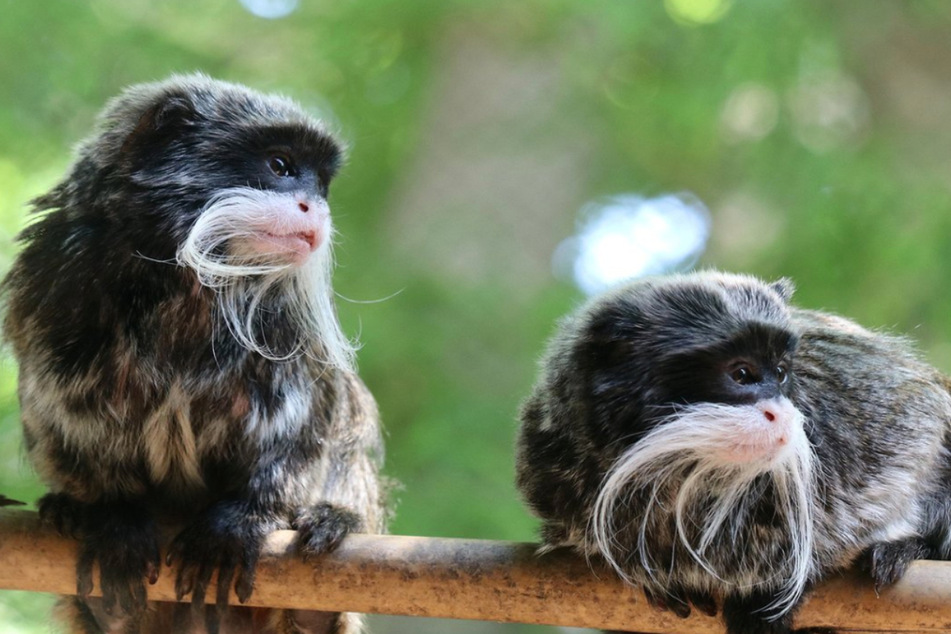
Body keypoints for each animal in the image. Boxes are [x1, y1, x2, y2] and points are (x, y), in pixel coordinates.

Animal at [3, 75, 384, 632]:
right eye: (280, 166)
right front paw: (112, 515)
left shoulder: (291, 324)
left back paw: (323, 566)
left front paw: (243, 517)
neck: (184, 278)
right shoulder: (52, 276)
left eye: (321, 185)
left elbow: (311, 420)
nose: (316, 209)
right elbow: (60, 411)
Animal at [516, 270, 951, 632]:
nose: (783, 415)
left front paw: (778, 592)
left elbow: (919, 422)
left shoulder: (850, 411)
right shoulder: (553, 464)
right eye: (742, 374)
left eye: (781, 373)